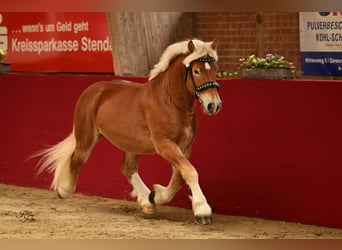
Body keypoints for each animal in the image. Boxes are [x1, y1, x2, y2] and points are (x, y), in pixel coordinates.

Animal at [34, 38, 222, 225]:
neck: (170, 101)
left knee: (127, 168)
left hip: (132, 143)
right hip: (86, 138)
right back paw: (63, 190)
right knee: (76, 160)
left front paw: (156, 195)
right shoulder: (164, 144)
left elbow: (179, 178)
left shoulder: (185, 146)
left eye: (215, 69)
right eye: (196, 71)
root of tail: (93, 90)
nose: (213, 105)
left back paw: (147, 201)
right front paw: (202, 211)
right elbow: (190, 172)